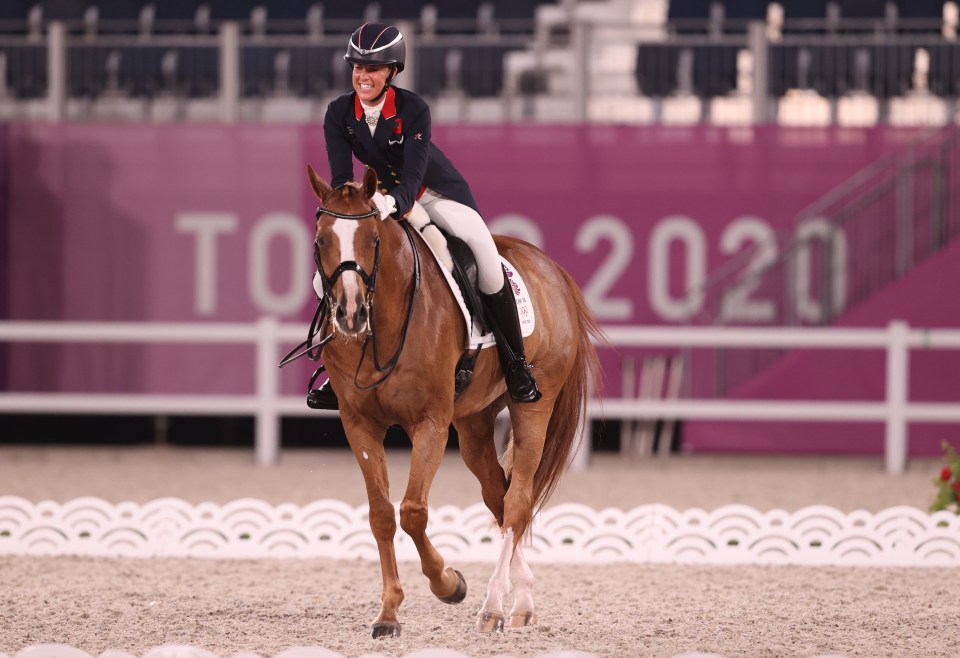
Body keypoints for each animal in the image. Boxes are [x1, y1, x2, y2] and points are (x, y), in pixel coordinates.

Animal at [306, 164, 600, 636]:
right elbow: (381, 514)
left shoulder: (430, 422)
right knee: (499, 497)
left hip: (534, 404)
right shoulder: (359, 423)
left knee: (517, 502)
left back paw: (493, 606)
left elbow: (413, 511)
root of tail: (552, 269)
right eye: (320, 242)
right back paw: (522, 601)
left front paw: (449, 583)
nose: (350, 315)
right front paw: (388, 613)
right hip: (475, 421)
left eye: (372, 239)